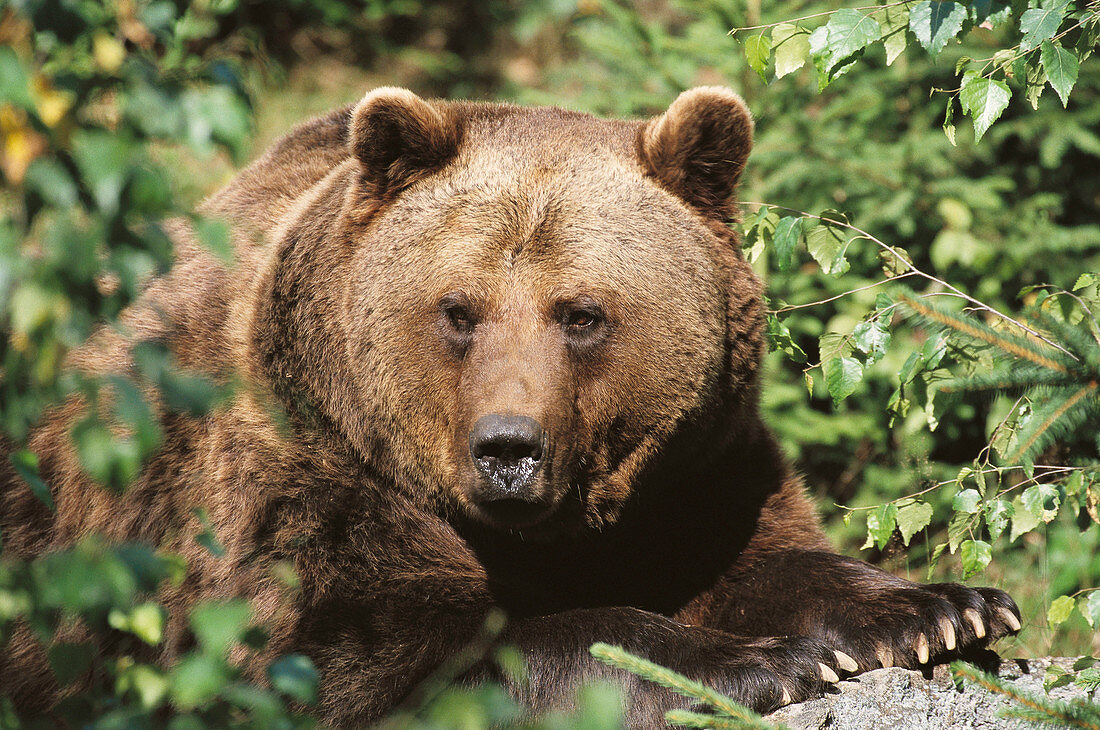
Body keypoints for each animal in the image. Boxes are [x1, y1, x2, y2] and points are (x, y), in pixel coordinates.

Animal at [0, 85, 1020, 725]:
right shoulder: (305, 478)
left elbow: (763, 555)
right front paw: (762, 661)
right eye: (459, 309)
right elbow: (369, 659)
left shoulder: (694, 467)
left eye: (583, 314)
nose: (508, 448)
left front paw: (940, 608)